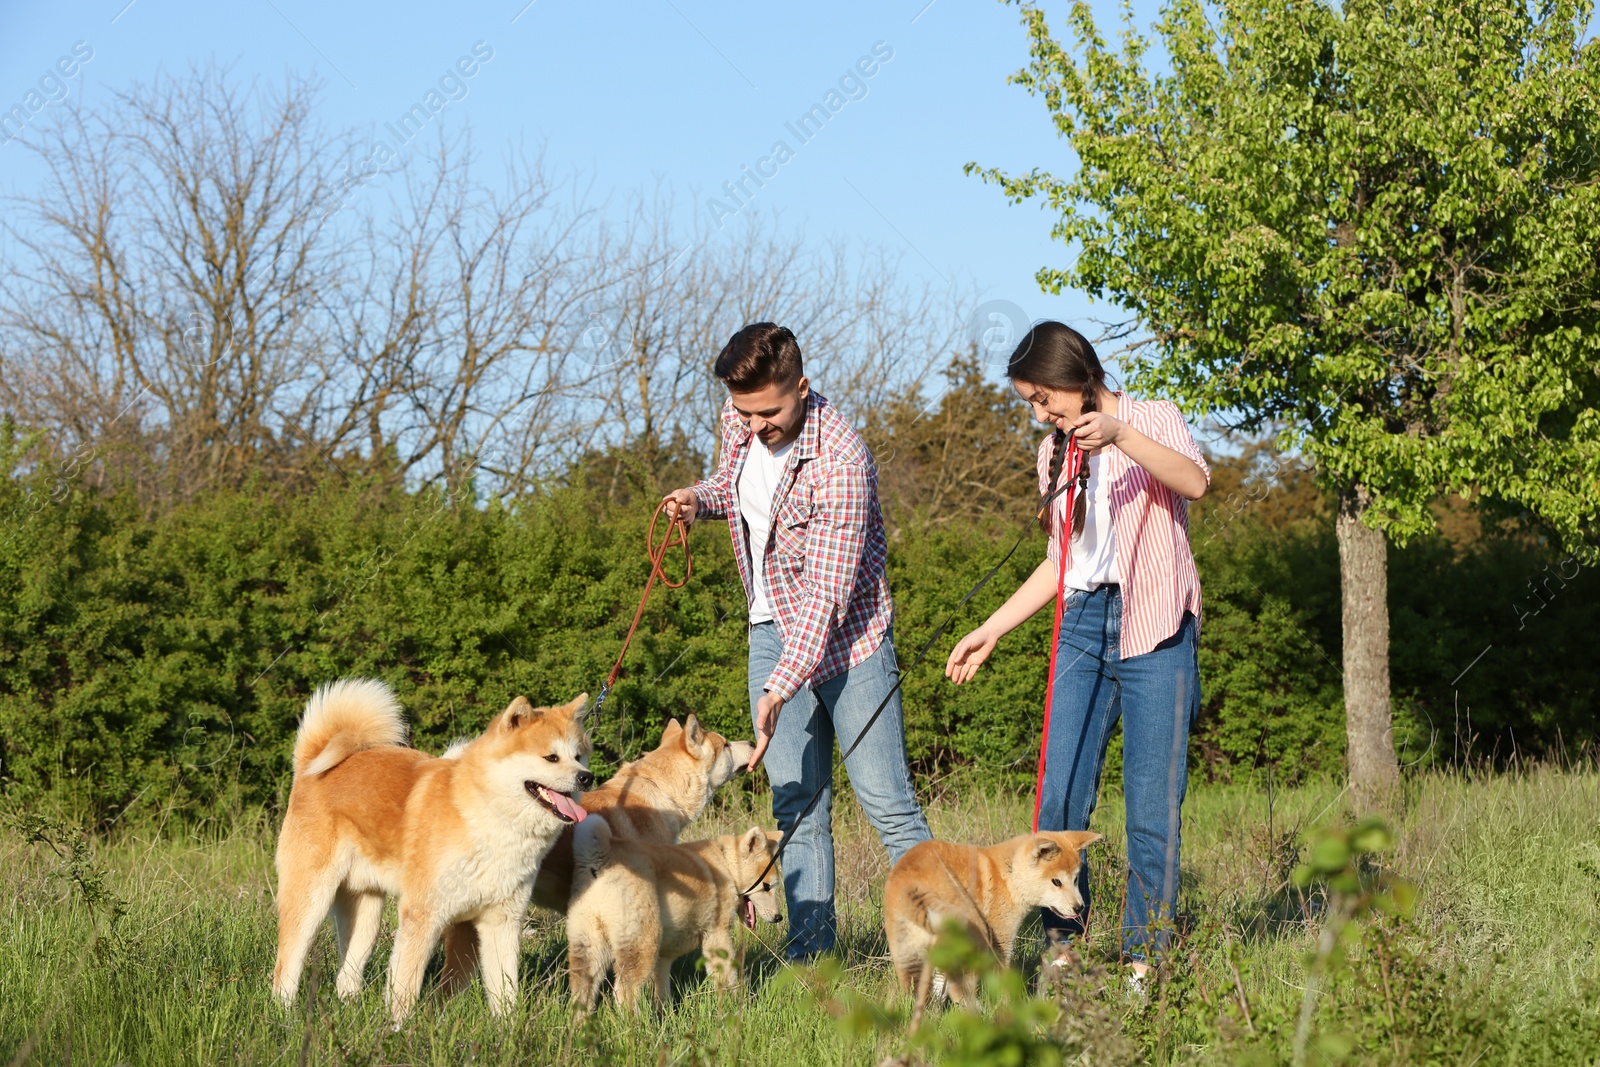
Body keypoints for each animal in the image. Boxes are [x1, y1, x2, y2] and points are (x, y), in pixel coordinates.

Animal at [268, 681, 595, 1023]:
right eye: (551, 757)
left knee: (347, 974)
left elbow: (506, 992)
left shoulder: (502, 921)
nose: (587, 777)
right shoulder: (422, 917)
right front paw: (398, 1030)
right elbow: (406, 987)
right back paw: (285, 1016)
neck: (486, 818)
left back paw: (351, 1012)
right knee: (287, 965)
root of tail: (310, 768)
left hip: (365, 914)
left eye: (579, 756)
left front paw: (508, 1031)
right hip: (311, 900)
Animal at [566, 819, 784, 1017]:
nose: (778, 917)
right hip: (641, 945)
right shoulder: (716, 934)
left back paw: (581, 1027)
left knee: (581, 992)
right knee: (624, 992)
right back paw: (636, 1027)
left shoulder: (664, 955)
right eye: (766, 886)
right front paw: (738, 1004)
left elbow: (662, 988)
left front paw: (665, 1015)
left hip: (589, 945)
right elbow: (728, 976)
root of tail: (601, 859)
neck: (725, 865)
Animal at [883, 831, 1107, 1023]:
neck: (1008, 876)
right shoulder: (1001, 942)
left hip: (907, 955)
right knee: (960, 989)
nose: (1079, 907)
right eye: (1056, 882)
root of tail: (912, 886)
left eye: (1076, 879)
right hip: (973, 937)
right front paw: (1008, 1010)